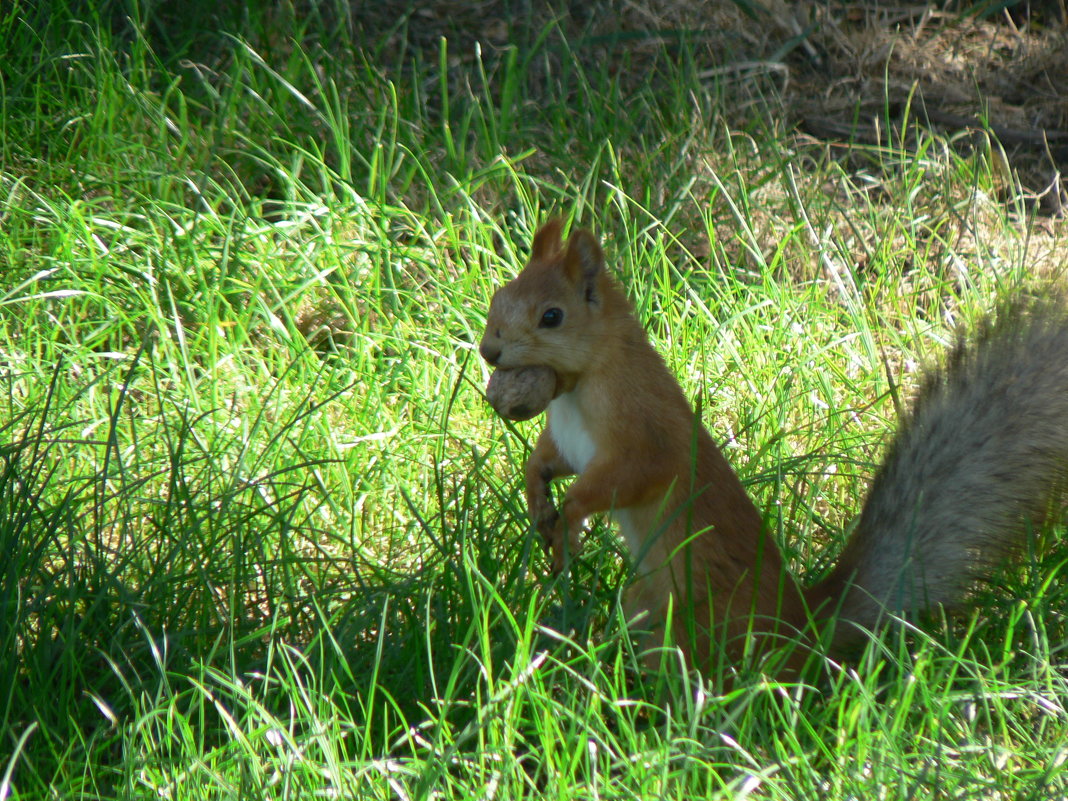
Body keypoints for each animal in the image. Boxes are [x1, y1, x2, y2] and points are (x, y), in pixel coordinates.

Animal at [480, 217, 1068, 670]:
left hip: (700, 621)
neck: (577, 385)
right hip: (647, 604)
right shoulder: (568, 440)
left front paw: (571, 518)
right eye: (499, 296)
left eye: (551, 316)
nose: (488, 351)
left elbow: (628, 477)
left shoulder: (643, 433)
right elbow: (543, 461)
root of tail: (800, 626)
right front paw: (539, 502)